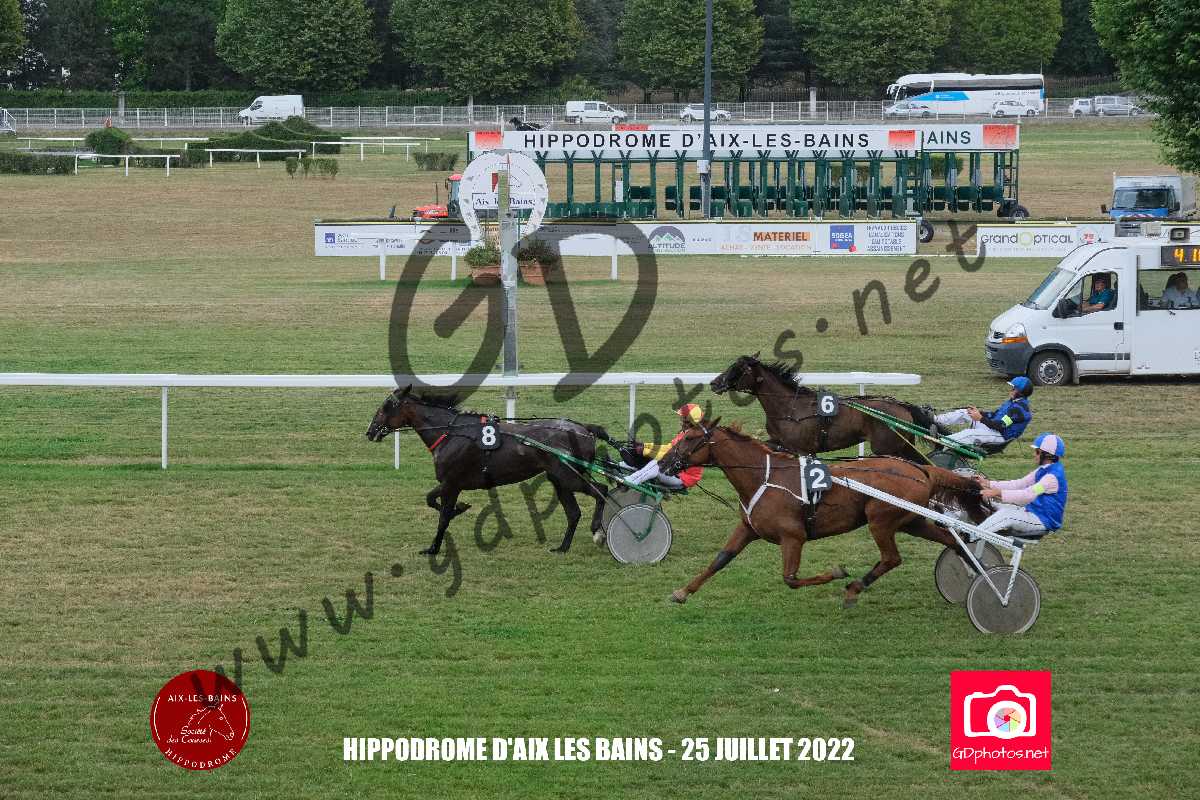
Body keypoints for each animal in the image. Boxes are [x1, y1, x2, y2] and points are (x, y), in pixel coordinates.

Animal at [366, 386, 615, 555]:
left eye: (385, 407)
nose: (370, 432)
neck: (451, 433)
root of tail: (584, 429)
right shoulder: (449, 482)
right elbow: (430, 499)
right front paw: (460, 508)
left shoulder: (452, 483)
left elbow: (443, 516)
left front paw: (433, 548)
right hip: (558, 479)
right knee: (573, 512)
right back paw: (562, 547)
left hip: (569, 476)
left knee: (602, 490)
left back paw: (598, 531)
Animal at [659, 421, 990, 608]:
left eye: (688, 439)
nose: (663, 463)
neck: (764, 477)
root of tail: (920, 470)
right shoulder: (748, 528)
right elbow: (720, 560)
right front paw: (682, 592)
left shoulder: (793, 537)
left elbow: (790, 579)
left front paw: (836, 572)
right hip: (912, 521)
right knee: (951, 539)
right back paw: (978, 574)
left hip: (881, 520)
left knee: (891, 558)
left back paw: (854, 588)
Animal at [709, 354, 935, 461]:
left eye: (738, 368)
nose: (714, 383)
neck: (790, 407)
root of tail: (902, 407)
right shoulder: (780, 443)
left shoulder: (802, 450)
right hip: (903, 446)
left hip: (888, 449)